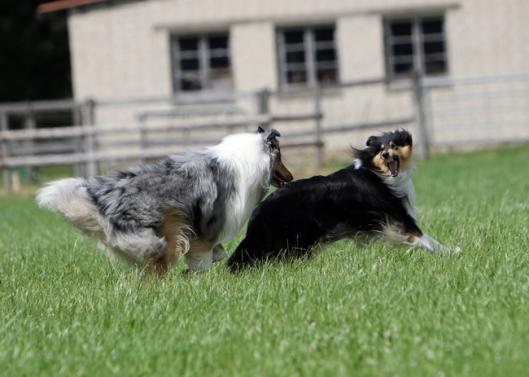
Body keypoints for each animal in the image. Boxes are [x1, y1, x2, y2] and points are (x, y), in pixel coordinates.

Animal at [227, 130, 458, 270]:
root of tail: (260, 209)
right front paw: (453, 251)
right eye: (380, 149)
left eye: (393, 145)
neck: (378, 174)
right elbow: (426, 239)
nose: (386, 155)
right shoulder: (399, 218)